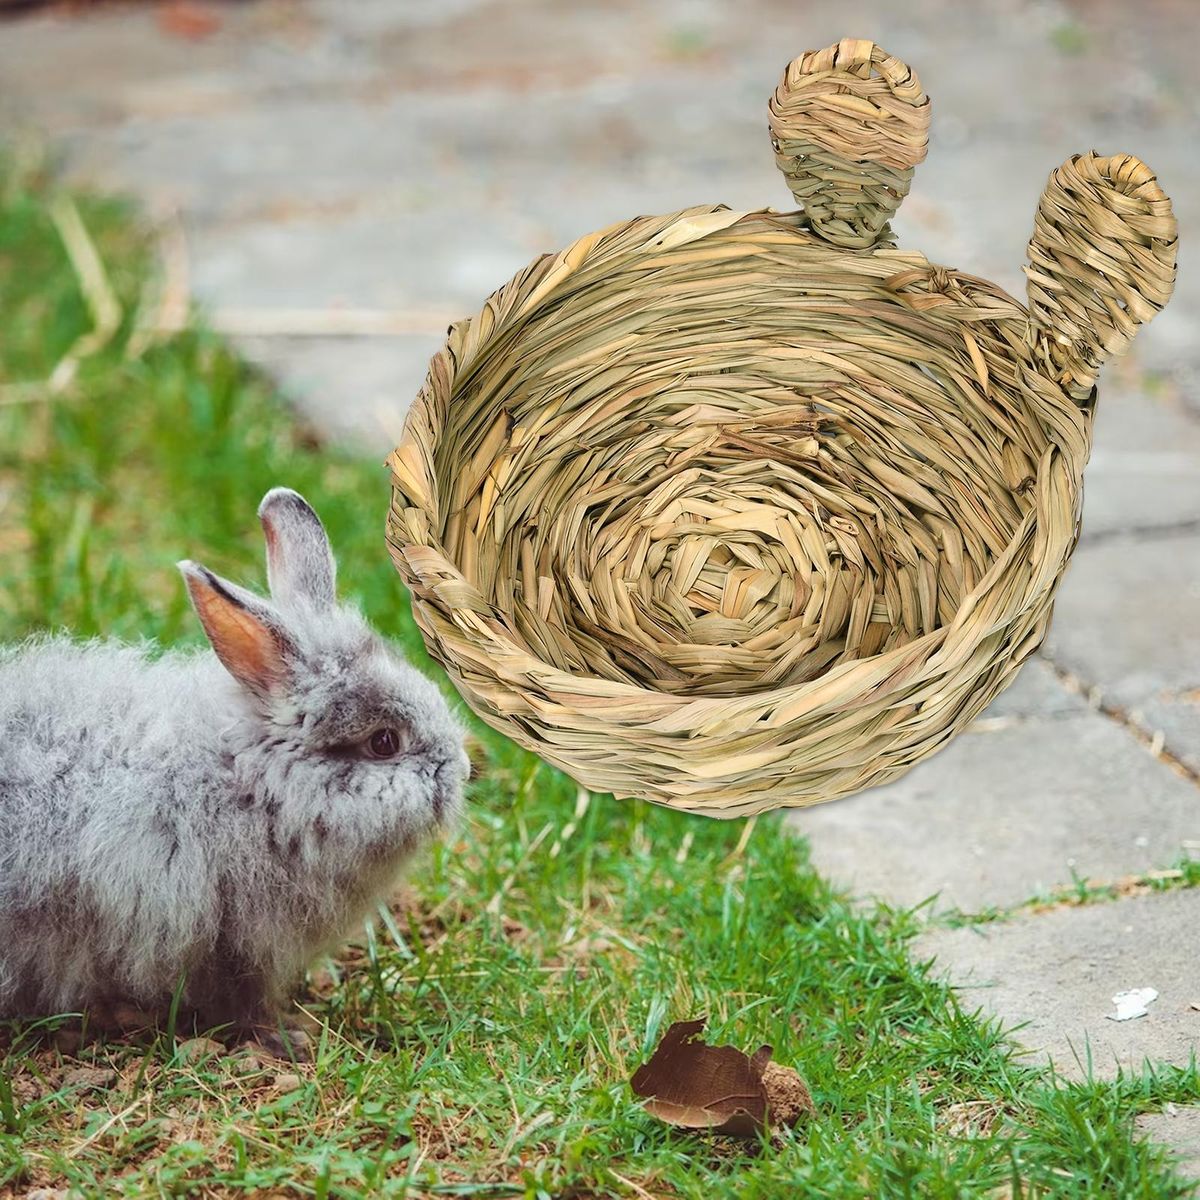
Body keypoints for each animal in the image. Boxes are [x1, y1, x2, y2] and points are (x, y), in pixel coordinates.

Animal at [0, 487, 468, 1058]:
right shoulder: (231, 943)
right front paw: (289, 1038)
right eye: (384, 743)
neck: (253, 787)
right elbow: (242, 1002)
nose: (462, 770)